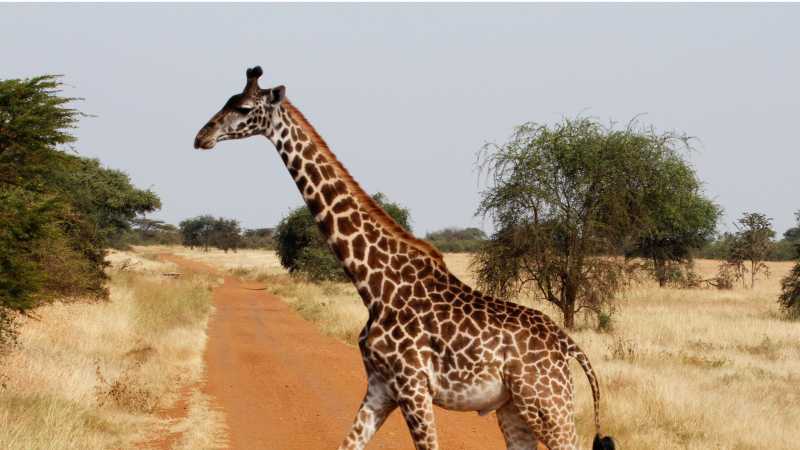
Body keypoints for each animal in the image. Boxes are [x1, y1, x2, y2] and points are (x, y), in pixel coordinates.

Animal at [194, 66, 616, 450]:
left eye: (243, 107)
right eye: (227, 100)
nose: (202, 136)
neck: (375, 285)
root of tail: (568, 345)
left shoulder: (414, 386)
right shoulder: (381, 386)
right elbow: (347, 444)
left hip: (547, 402)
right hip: (512, 407)